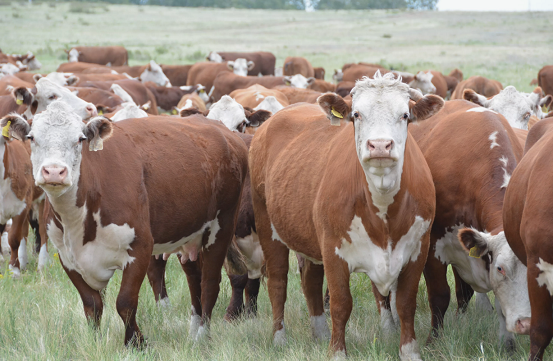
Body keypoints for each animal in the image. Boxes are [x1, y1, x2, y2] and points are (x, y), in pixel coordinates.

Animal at [1, 100, 248, 346]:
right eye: (32, 137)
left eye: (80, 139)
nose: (54, 172)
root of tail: (223, 130)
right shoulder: (68, 257)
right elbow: (92, 304)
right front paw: (96, 342)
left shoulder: (140, 248)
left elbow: (125, 302)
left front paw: (136, 343)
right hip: (189, 234)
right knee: (194, 279)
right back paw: (193, 332)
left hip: (222, 227)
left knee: (210, 283)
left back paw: (202, 337)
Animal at [248, 71, 442, 358]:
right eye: (357, 114)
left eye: (405, 115)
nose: (380, 145)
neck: (383, 209)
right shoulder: (333, 250)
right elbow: (341, 303)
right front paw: (337, 351)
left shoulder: (419, 248)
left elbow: (406, 302)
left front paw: (410, 352)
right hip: (267, 226)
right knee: (278, 282)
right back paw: (279, 338)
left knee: (311, 282)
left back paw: (319, 333)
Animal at [410, 98, 532, 348]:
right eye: (500, 268)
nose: (525, 324)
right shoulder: (433, 245)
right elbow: (439, 295)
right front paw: (433, 341)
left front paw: (508, 345)